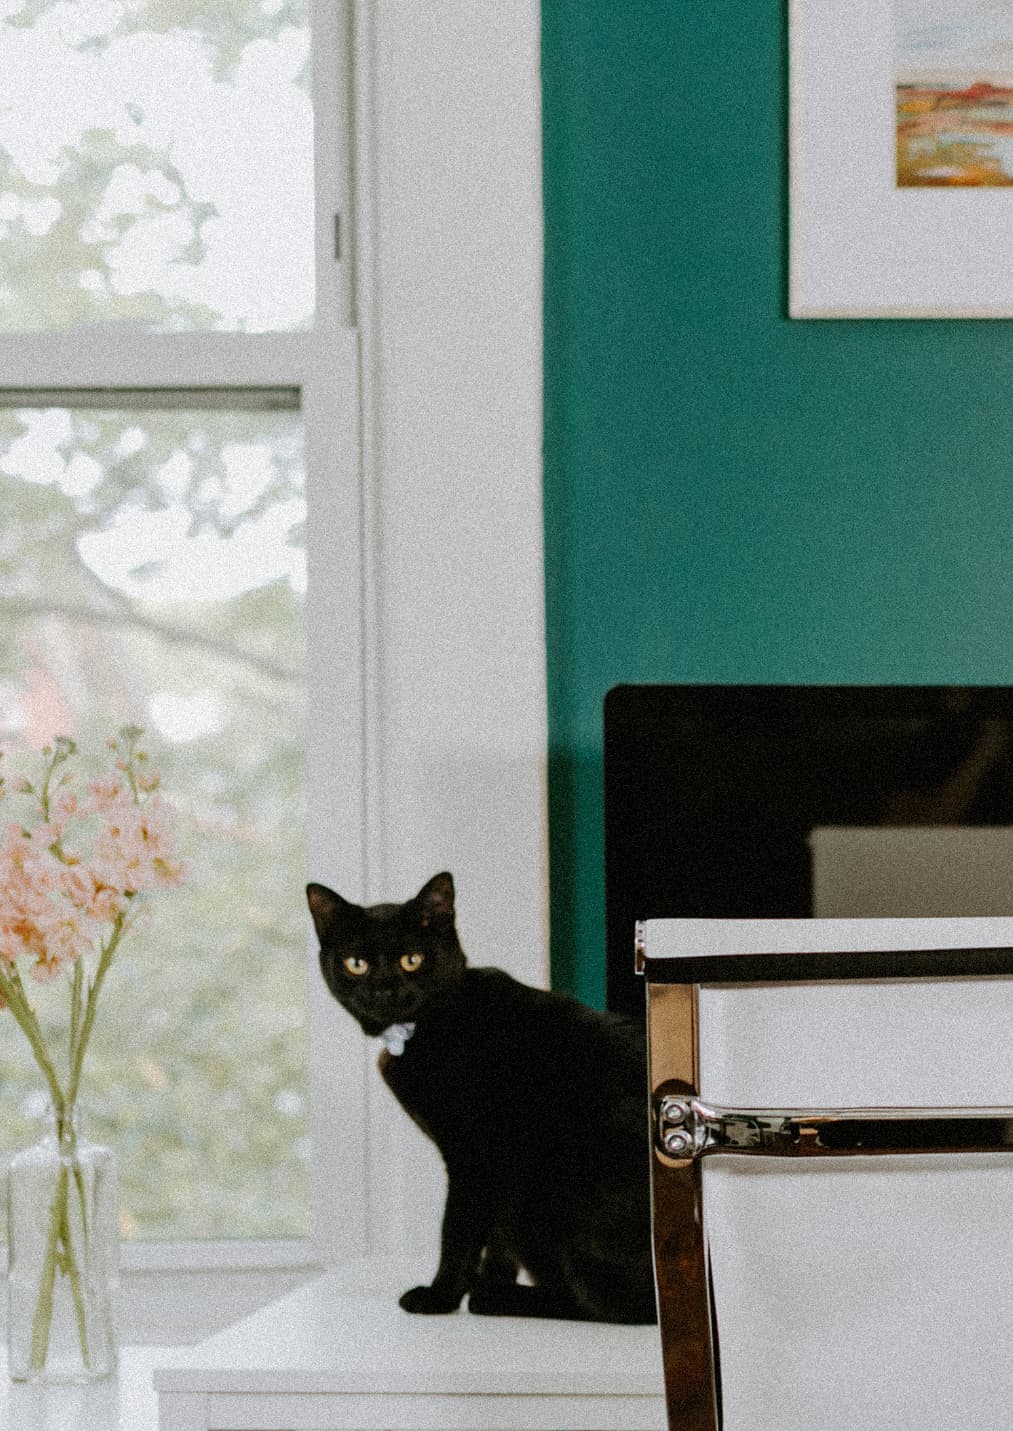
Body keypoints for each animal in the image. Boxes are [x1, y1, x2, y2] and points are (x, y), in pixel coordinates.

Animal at [305, 871, 657, 1324]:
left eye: (412, 960)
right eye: (356, 964)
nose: (383, 991)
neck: (423, 1028)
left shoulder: (473, 1158)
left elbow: (457, 1230)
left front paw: (440, 1296)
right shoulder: (497, 1173)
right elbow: (495, 1237)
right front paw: (487, 1276)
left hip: (554, 1192)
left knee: (622, 1306)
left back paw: (499, 1299)